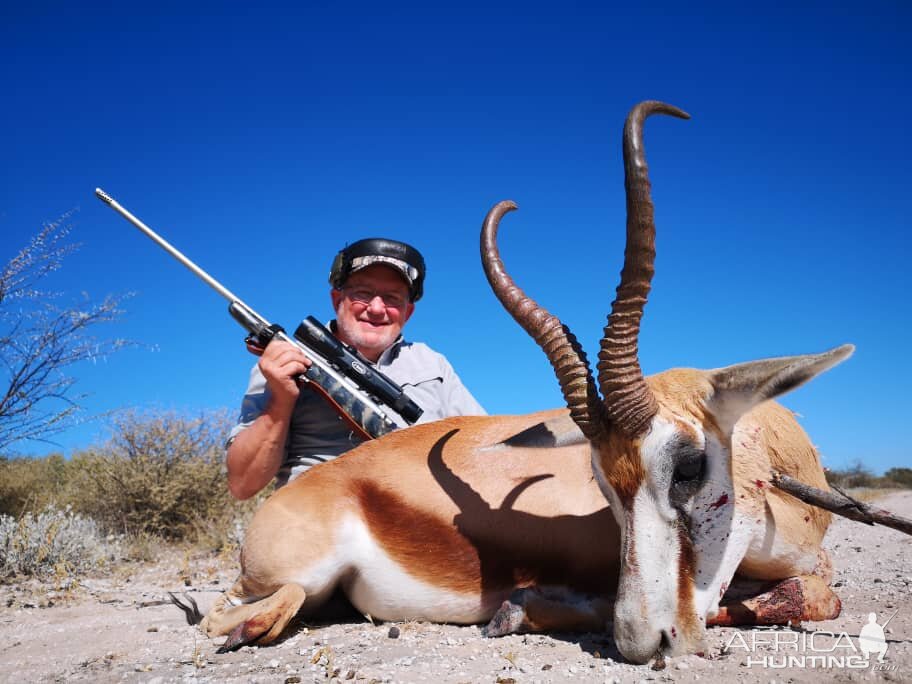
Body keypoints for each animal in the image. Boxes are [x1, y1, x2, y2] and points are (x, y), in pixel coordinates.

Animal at [200, 100, 848, 664]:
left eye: (689, 467)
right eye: (601, 483)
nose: (643, 641)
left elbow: (817, 592)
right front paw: (522, 609)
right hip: (295, 577)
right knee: (231, 611)